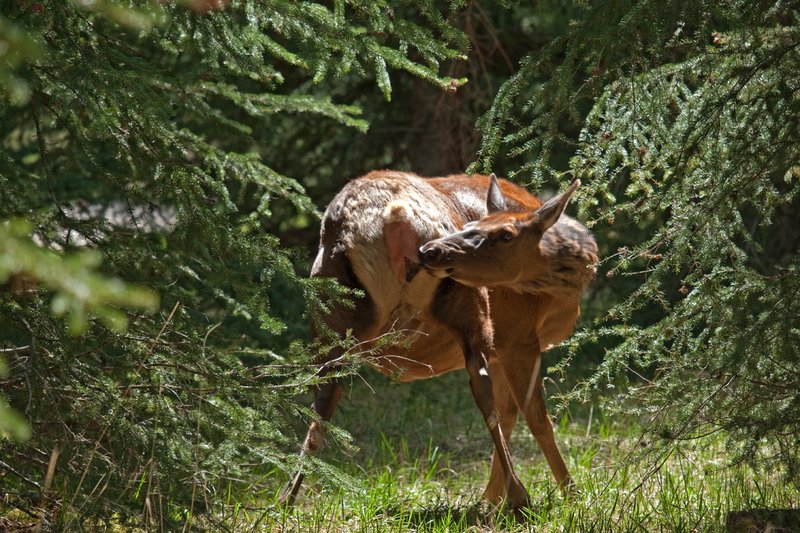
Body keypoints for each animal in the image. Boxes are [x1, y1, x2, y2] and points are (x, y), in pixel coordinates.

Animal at [280, 170, 598, 511]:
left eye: (504, 234)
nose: (433, 250)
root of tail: (394, 214)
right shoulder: (518, 336)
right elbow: (536, 418)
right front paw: (570, 495)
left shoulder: (505, 348)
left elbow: (512, 416)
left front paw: (490, 498)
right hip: (470, 303)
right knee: (484, 393)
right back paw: (519, 495)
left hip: (329, 307)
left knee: (322, 399)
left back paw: (286, 498)